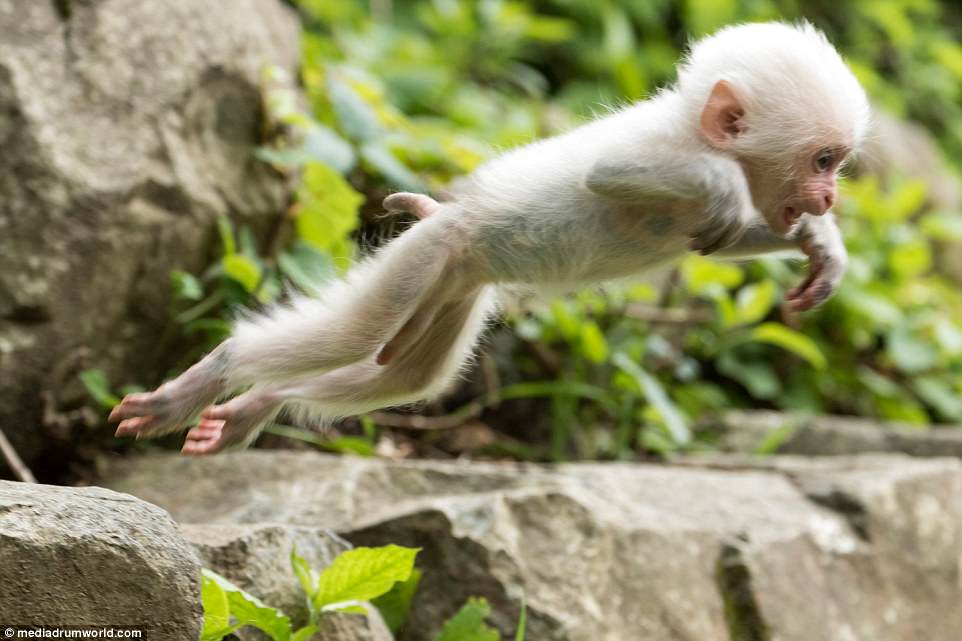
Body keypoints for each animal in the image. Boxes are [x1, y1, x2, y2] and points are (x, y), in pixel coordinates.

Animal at [110, 21, 872, 456]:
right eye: (823, 160)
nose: (830, 196)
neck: (701, 137)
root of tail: (448, 222)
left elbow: (741, 231)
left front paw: (820, 246)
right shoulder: (663, 146)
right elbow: (610, 172)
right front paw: (733, 193)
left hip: (454, 286)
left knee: (407, 374)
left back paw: (256, 407)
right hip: (431, 254)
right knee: (357, 336)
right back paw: (212, 377)